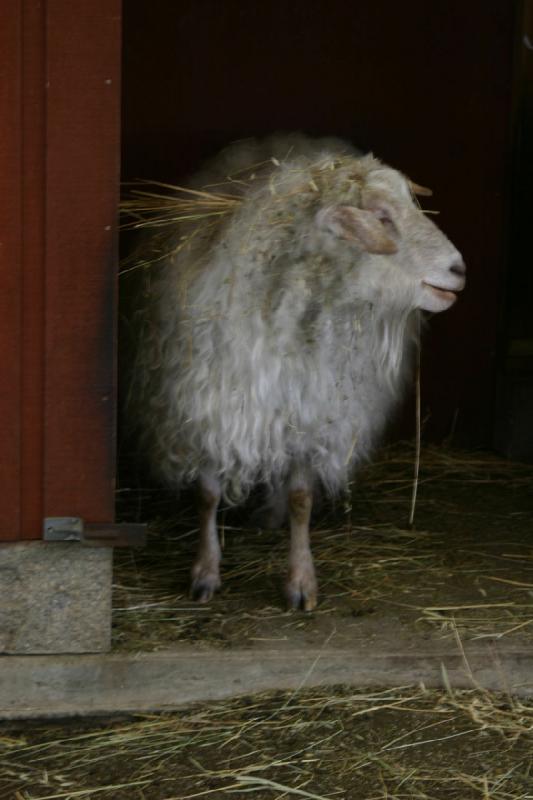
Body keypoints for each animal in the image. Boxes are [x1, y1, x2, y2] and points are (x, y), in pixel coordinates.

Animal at [130, 134, 466, 608]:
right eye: (382, 217)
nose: (459, 269)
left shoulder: (311, 412)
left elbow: (301, 498)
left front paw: (301, 581)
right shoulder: (208, 410)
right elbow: (207, 495)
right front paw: (205, 572)